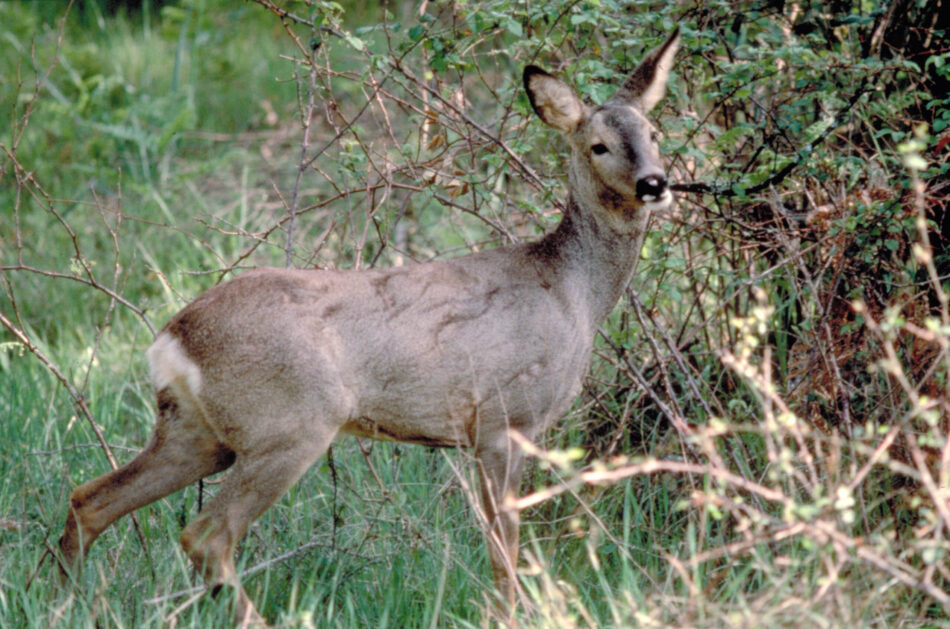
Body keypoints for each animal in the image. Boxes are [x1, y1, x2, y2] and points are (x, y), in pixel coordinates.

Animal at [59, 28, 680, 624]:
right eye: (598, 145)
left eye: (654, 132)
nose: (654, 182)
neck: (572, 291)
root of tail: (173, 338)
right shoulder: (505, 418)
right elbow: (503, 546)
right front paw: (509, 615)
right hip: (289, 423)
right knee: (206, 534)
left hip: (198, 431)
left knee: (90, 498)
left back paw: (68, 601)